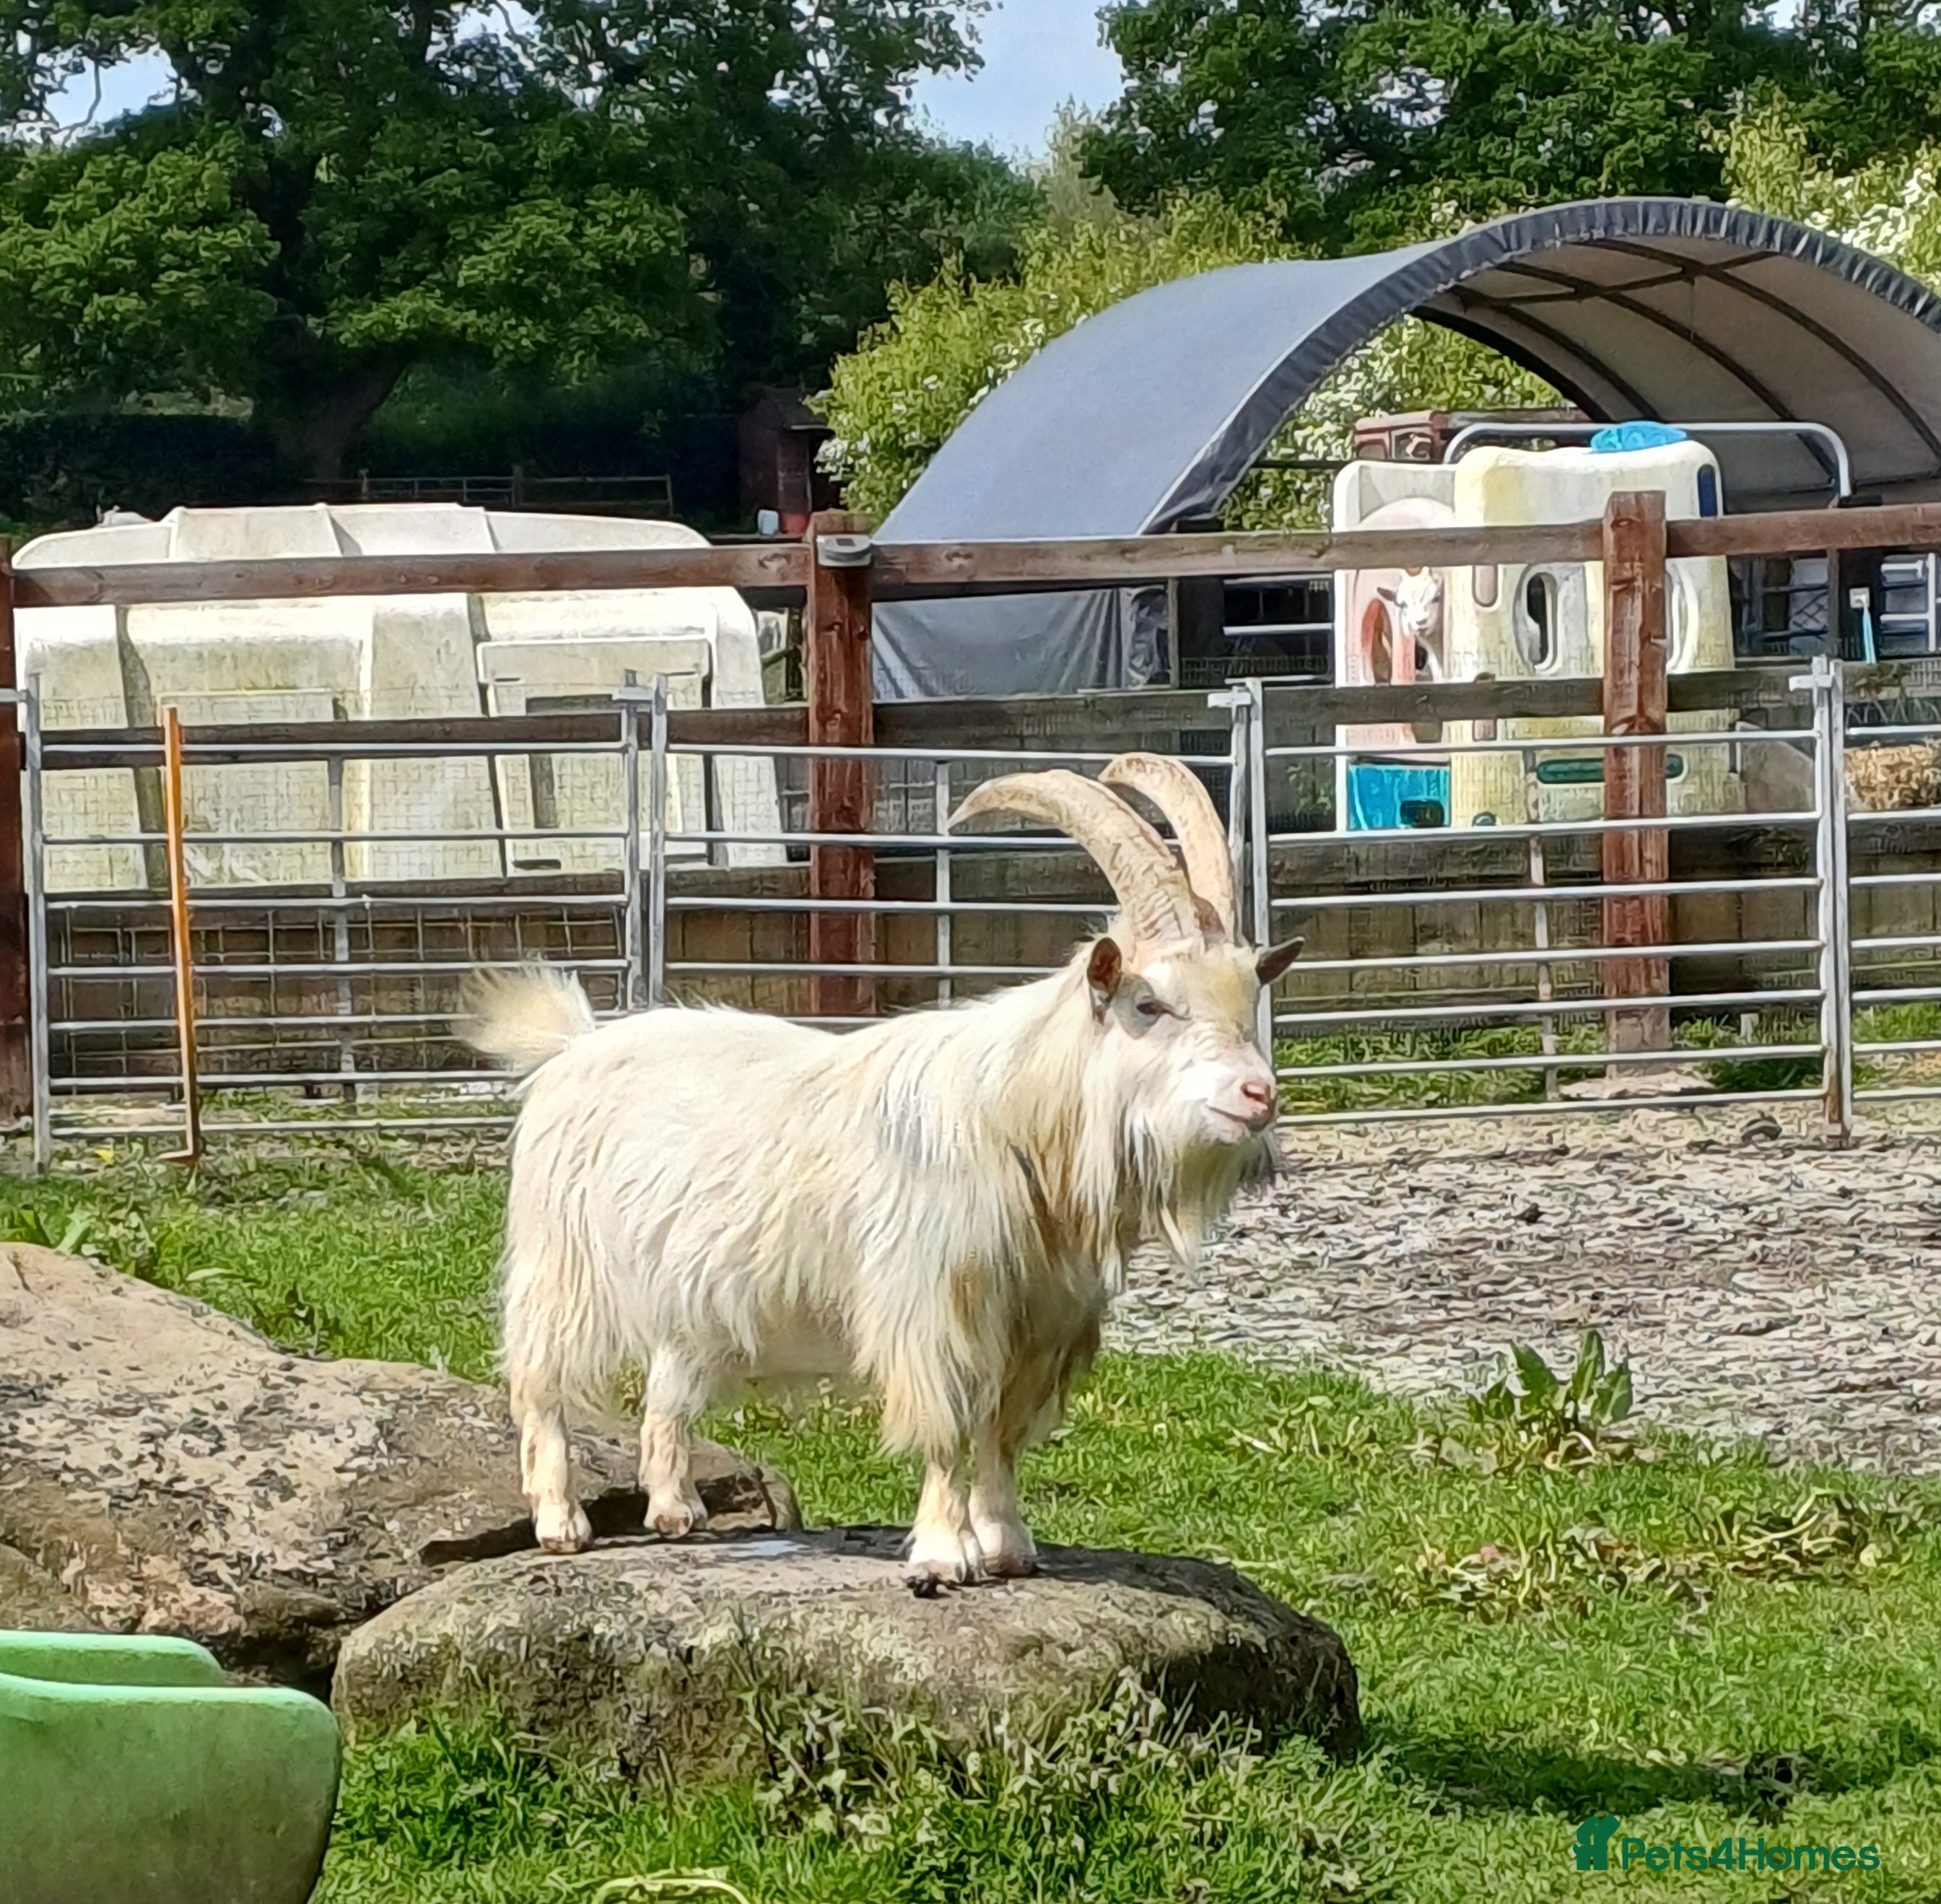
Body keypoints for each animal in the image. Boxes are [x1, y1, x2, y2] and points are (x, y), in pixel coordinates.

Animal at [464, 755, 1302, 1585]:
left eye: (1247, 996)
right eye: (1149, 1004)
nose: (1256, 1095)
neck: (1015, 1113)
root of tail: (573, 1046)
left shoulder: (1039, 1325)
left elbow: (999, 1433)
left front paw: (1008, 1546)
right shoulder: (930, 1306)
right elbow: (946, 1427)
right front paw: (942, 1555)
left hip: (690, 1294)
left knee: (667, 1385)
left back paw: (675, 1510)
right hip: (561, 1265)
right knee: (540, 1384)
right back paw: (560, 1524)